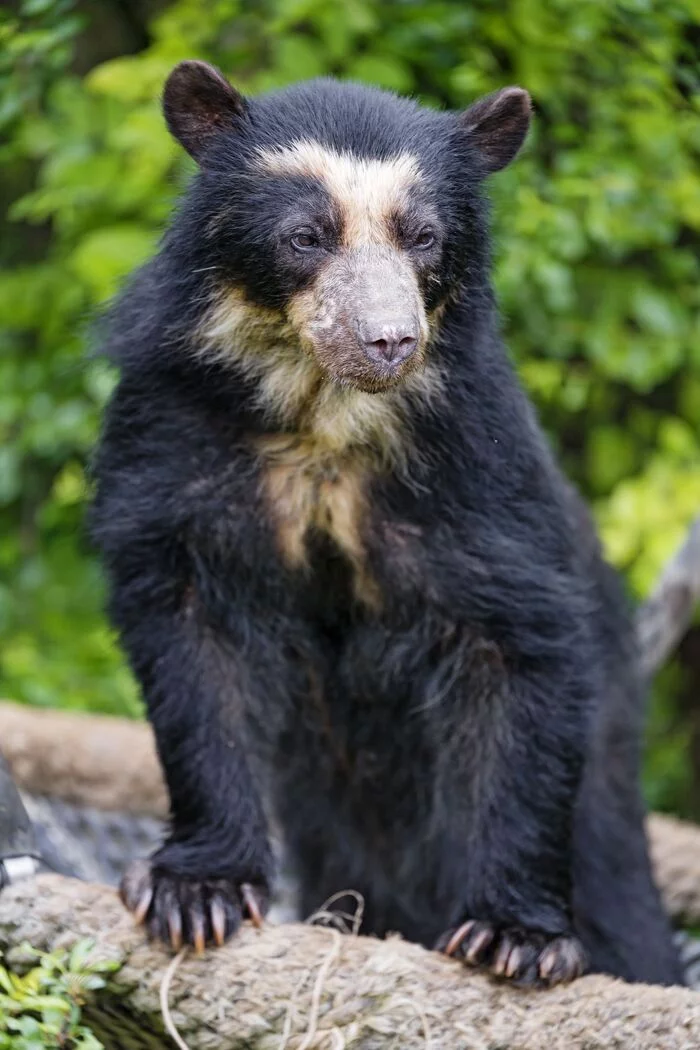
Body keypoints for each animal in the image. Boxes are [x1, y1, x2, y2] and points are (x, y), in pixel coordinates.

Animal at [91, 61, 684, 986]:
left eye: (425, 237)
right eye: (306, 236)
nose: (388, 341)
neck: (324, 418)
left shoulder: (478, 471)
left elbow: (520, 649)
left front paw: (515, 937)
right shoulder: (174, 441)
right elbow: (193, 651)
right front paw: (197, 895)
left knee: (611, 860)